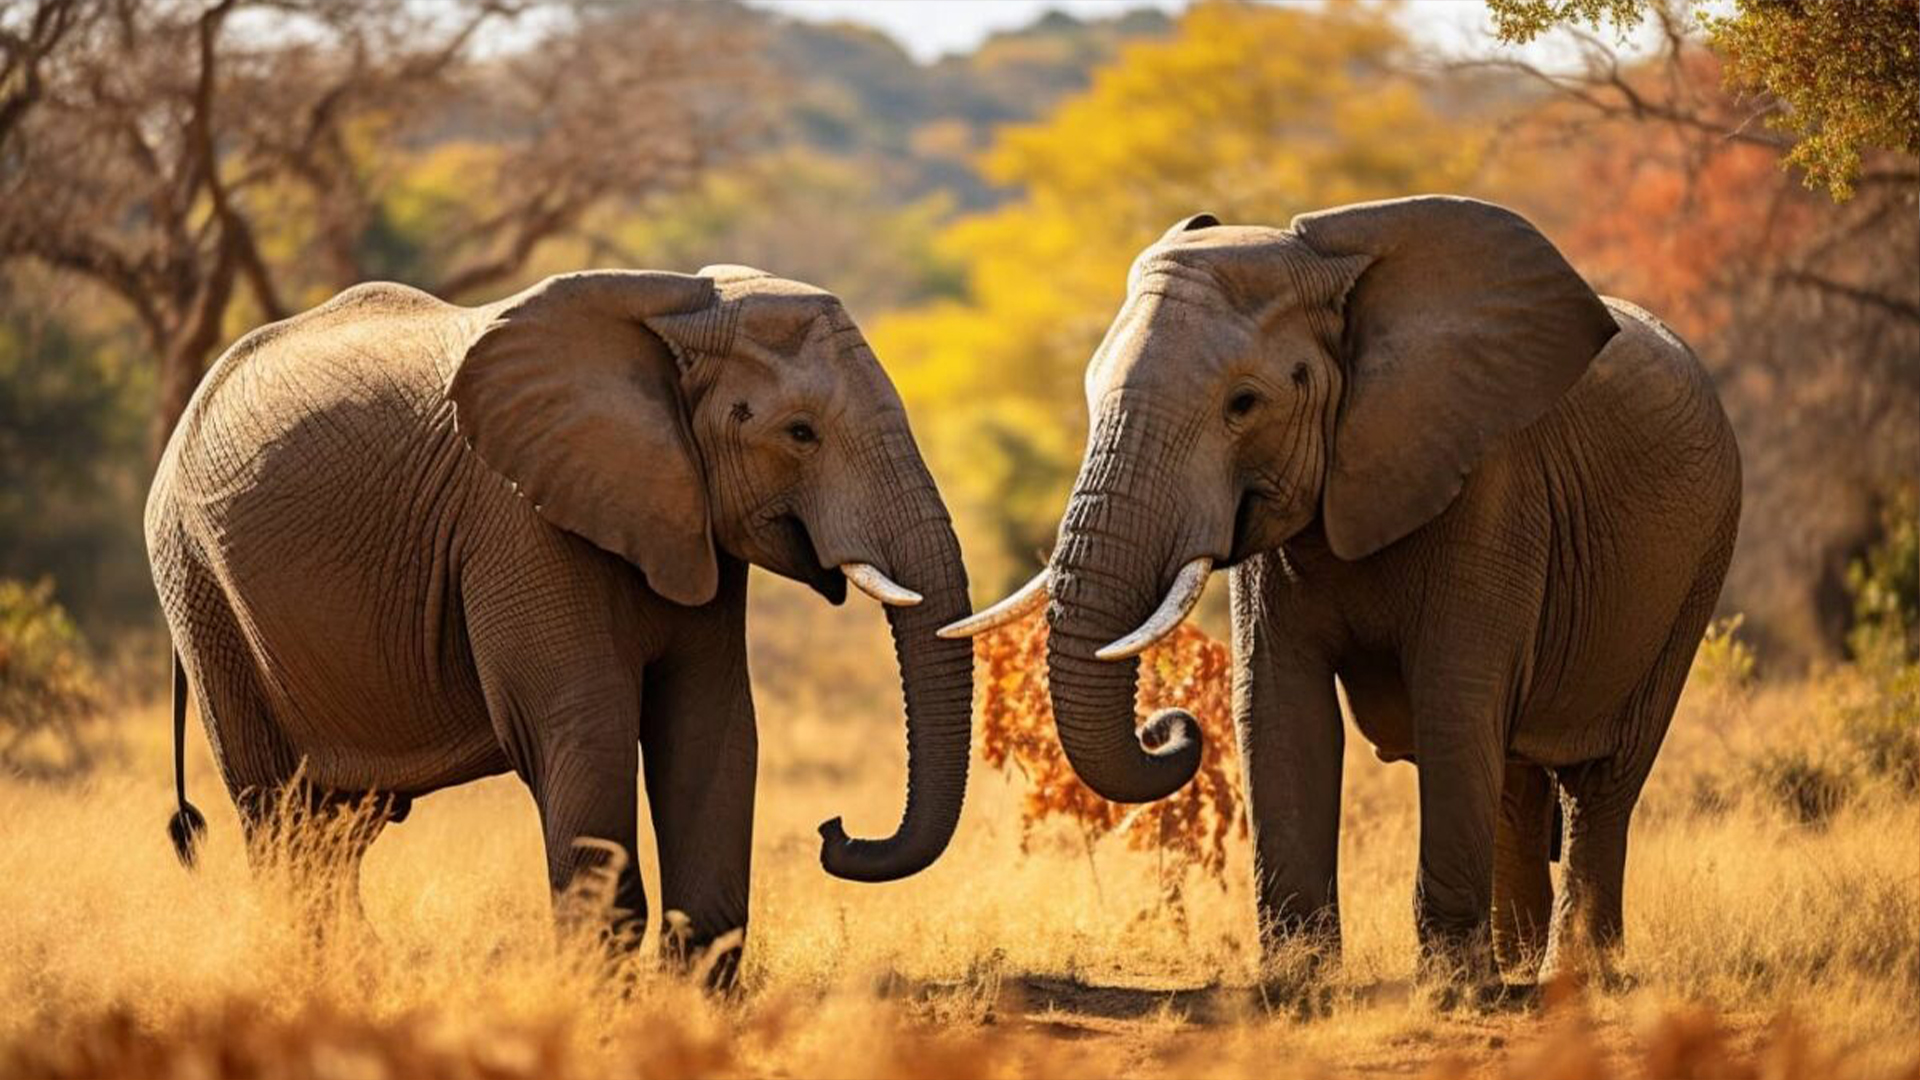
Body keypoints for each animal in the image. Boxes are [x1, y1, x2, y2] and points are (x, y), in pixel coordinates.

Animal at [146, 265, 973, 986]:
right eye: (801, 433)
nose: (836, 831)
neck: (676, 308)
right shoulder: (520, 521)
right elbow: (582, 728)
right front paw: (605, 1005)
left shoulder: (687, 514)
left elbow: (712, 727)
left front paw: (689, 1003)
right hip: (199, 587)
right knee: (279, 816)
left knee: (338, 828)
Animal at [944, 196, 1741, 993]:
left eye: (1244, 403)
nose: (1167, 725)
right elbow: (1280, 706)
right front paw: (1297, 982)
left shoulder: (1491, 487)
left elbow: (1453, 702)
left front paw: (1451, 989)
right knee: (1516, 777)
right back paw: (1519, 963)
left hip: (1698, 565)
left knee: (1602, 781)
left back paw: (1570, 974)